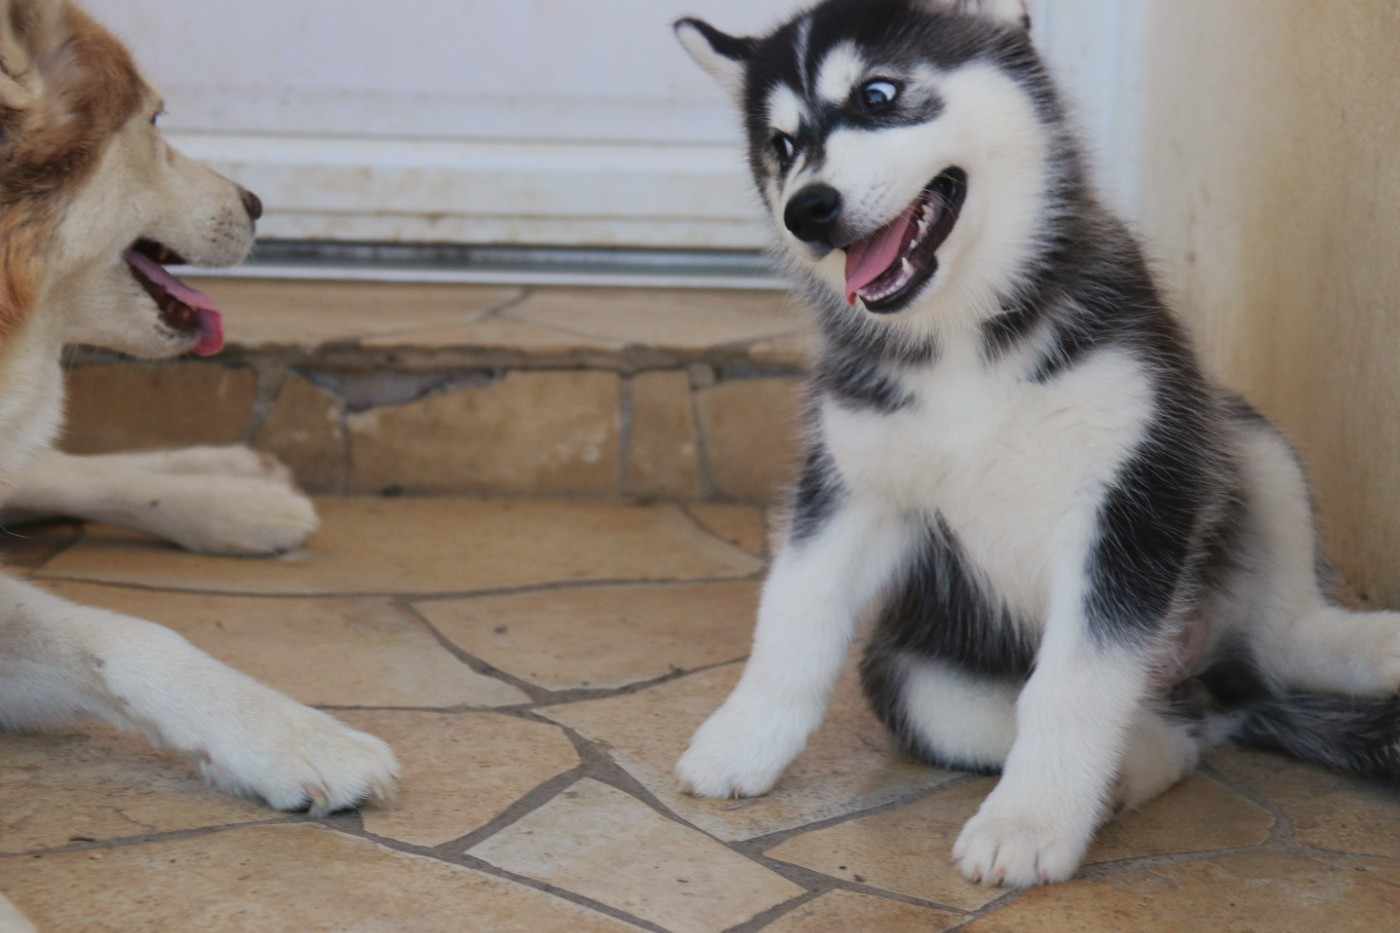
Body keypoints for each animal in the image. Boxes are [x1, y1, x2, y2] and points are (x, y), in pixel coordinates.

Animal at [674, 0, 1400, 888]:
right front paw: (742, 739)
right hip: (912, 670)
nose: (805, 210)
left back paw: (1374, 644)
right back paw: (1134, 765)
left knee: (1288, 629)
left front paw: (1028, 822)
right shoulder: (851, 484)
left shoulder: (1130, 490)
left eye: (879, 95)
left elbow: (1074, 684)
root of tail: (1217, 678)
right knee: (1173, 729)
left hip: (1237, 437)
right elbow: (795, 613)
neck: (963, 341)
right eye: (780, 146)